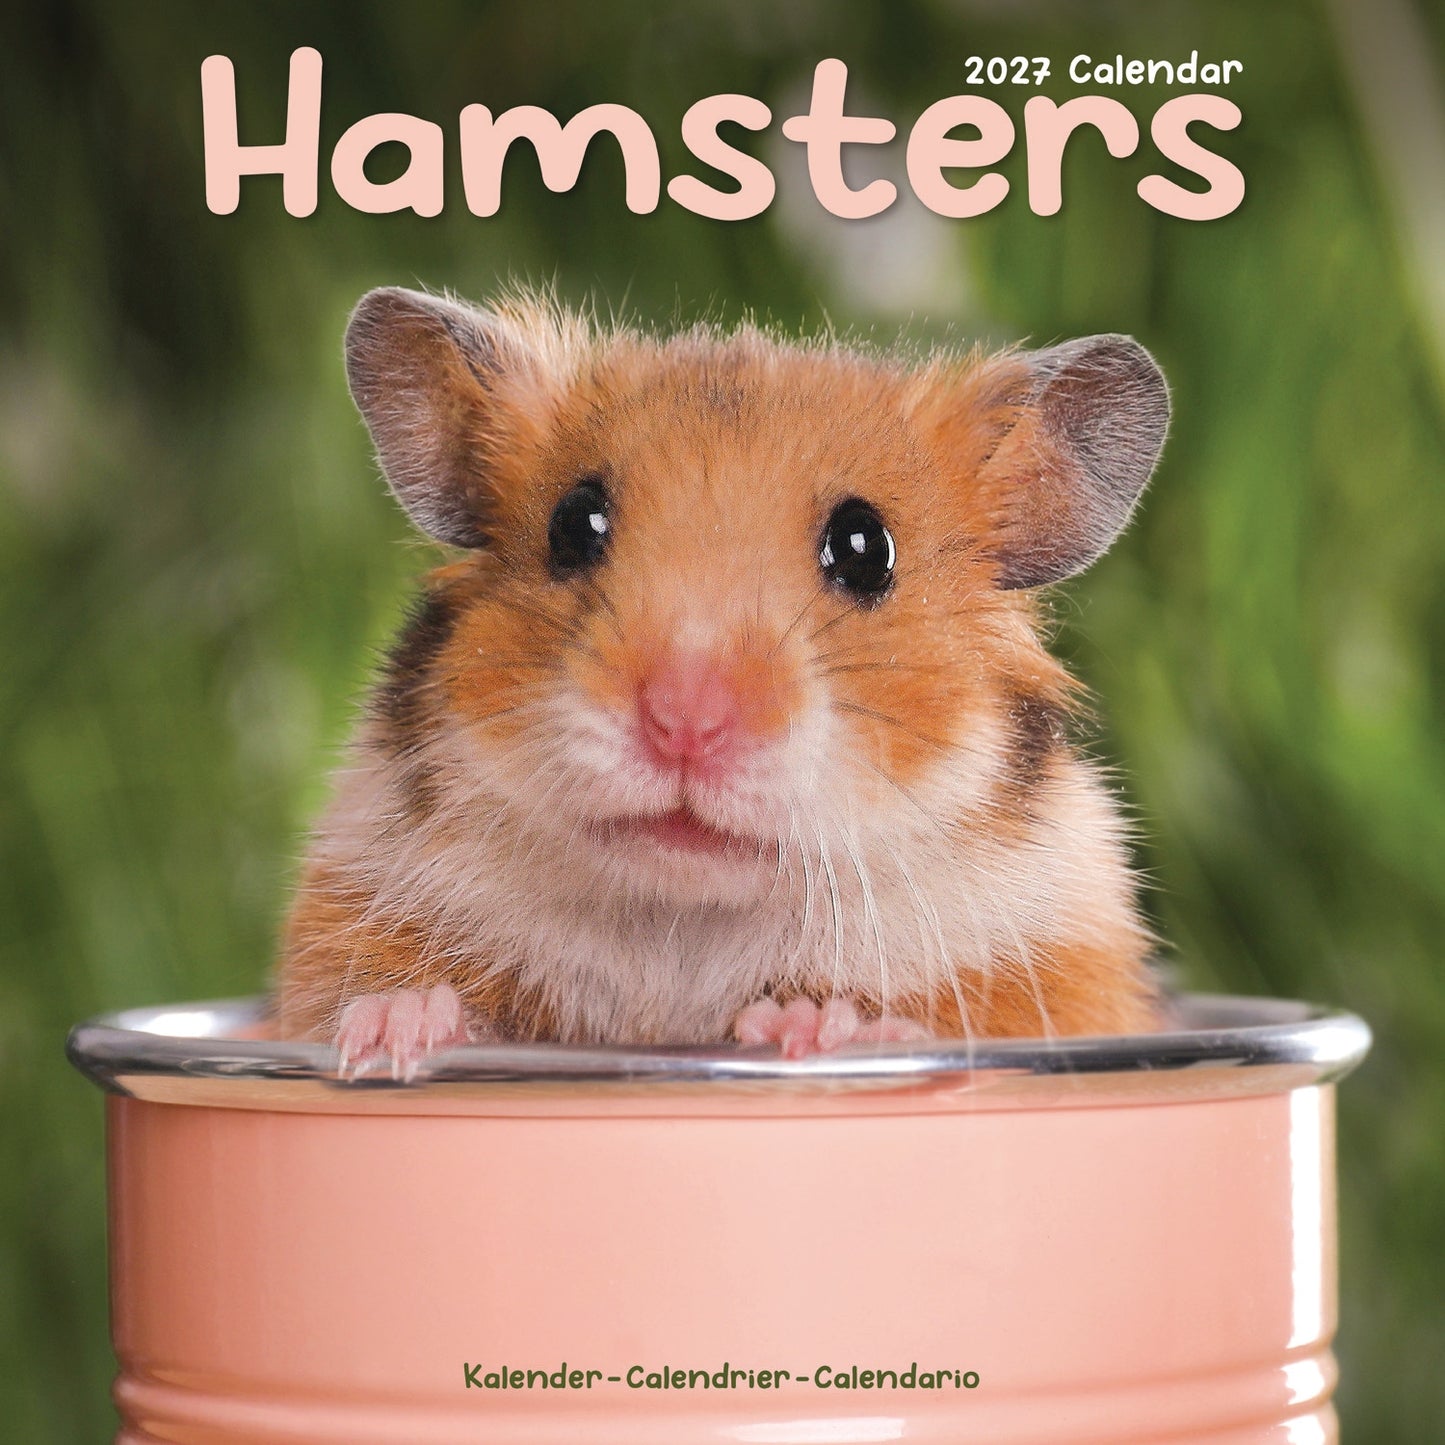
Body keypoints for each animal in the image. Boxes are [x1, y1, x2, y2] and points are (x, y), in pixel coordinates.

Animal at [275, 285, 1170, 1075]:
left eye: (865, 548)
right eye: (573, 524)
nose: (683, 723)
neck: (685, 920)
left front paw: (817, 1028)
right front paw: (386, 1033)